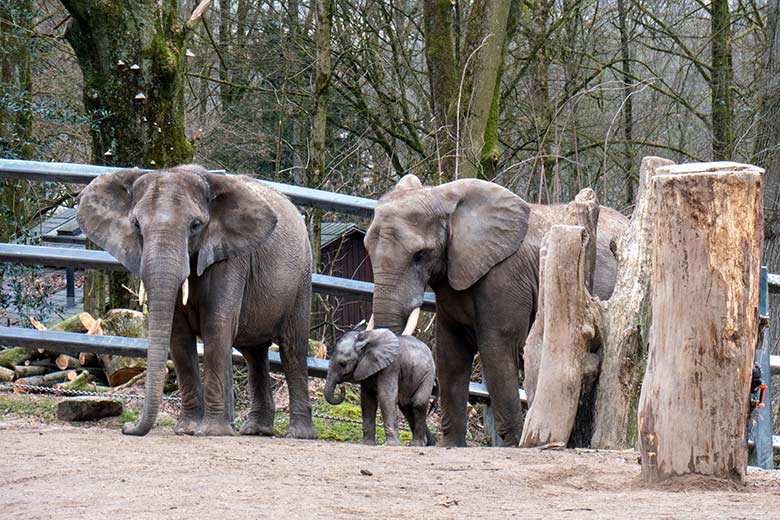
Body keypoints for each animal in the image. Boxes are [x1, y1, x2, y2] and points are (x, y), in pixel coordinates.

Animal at [76, 164, 314, 438]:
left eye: (196, 225)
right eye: (136, 225)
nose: (126, 428)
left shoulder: (230, 258)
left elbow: (217, 325)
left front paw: (210, 431)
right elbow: (178, 336)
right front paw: (187, 429)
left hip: (301, 278)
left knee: (292, 349)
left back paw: (298, 434)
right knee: (254, 353)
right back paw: (255, 430)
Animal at [366, 175, 628, 446]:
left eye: (419, 255)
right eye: (367, 249)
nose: (428, 440)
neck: (441, 196)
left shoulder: (505, 277)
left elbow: (496, 349)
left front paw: (512, 443)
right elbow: (450, 352)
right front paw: (451, 446)